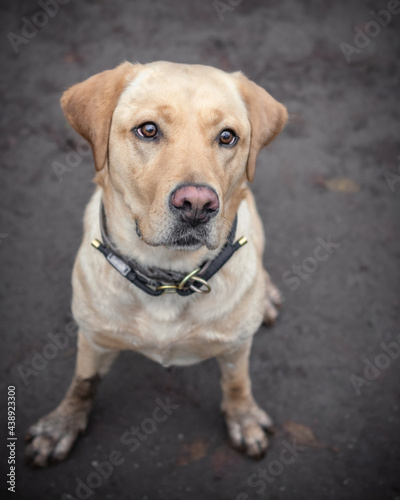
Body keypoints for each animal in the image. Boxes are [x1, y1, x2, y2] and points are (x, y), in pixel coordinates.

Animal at [25, 61, 288, 464]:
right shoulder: (93, 338)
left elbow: (237, 382)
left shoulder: (235, 347)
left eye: (228, 137)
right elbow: (83, 383)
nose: (197, 204)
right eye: (148, 130)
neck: (169, 276)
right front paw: (62, 423)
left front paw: (243, 418)